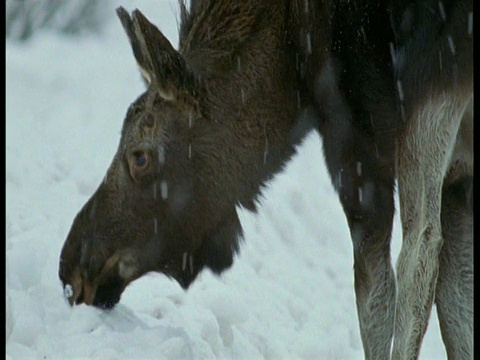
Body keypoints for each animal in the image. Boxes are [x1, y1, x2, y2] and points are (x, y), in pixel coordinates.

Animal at [59, 1, 472, 358]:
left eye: (140, 156)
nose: (71, 268)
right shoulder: (460, 173)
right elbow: (456, 303)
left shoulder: (356, 144)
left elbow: (377, 294)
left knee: (420, 250)